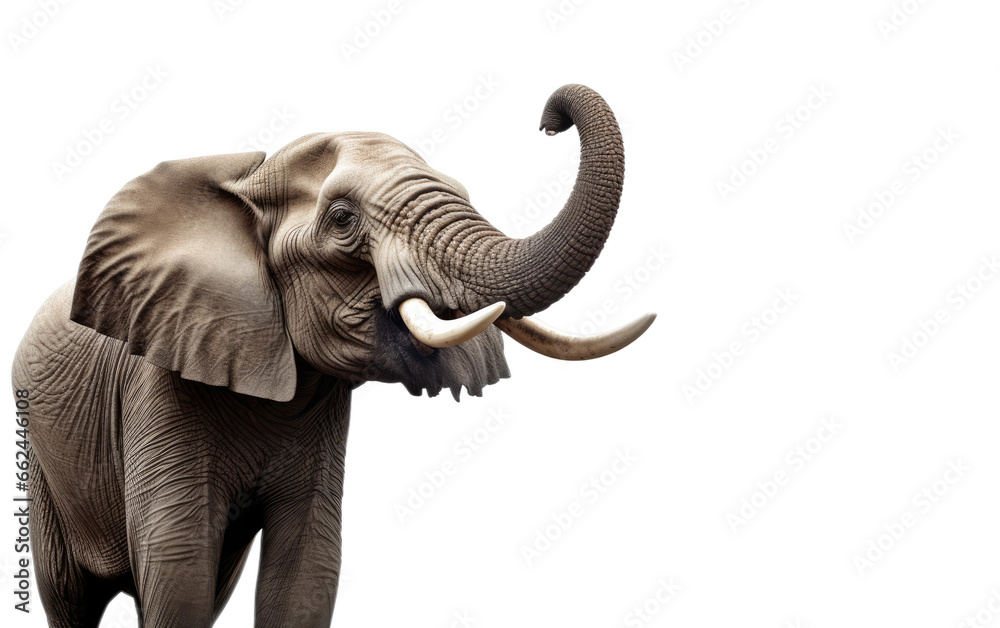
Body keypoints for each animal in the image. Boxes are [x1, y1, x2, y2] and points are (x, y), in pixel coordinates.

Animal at [11, 84, 654, 627]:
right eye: (342, 219)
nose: (551, 119)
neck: (247, 183)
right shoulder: (160, 380)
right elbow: (178, 562)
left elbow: (306, 566)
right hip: (38, 451)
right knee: (68, 594)